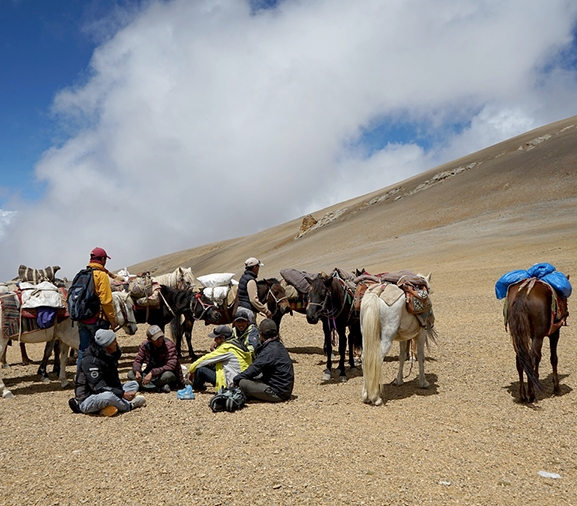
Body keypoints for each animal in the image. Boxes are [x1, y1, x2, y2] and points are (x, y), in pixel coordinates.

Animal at [0, 290, 138, 398]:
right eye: (130, 308)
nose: (134, 328)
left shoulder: (64, 339)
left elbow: (63, 358)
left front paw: (63, 380)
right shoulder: (75, 340)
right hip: (2, 341)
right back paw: (6, 391)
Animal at [358, 274, 434, 406]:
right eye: (429, 289)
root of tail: (378, 292)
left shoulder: (403, 337)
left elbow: (402, 357)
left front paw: (399, 380)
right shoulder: (421, 334)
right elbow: (421, 357)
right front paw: (423, 382)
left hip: (366, 335)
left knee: (365, 358)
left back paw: (365, 395)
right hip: (387, 338)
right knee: (377, 358)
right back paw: (376, 398)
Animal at [504, 276, 568, 404]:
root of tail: (523, 293)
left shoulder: (532, 336)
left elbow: (538, 358)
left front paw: (537, 378)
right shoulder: (554, 333)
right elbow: (553, 358)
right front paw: (557, 388)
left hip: (517, 336)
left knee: (521, 360)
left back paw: (523, 395)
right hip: (538, 336)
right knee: (531, 359)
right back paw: (532, 395)